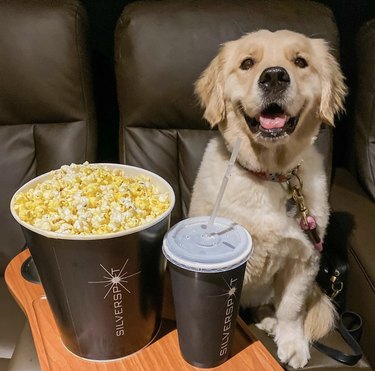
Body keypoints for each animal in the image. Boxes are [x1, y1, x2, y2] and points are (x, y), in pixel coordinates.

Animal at [189, 30, 348, 370]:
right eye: (247, 63)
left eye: (300, 61)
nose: (274, 76)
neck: (269, 174)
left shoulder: (304, 260)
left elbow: (291, 309)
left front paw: (292, 343)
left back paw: (269, 320)